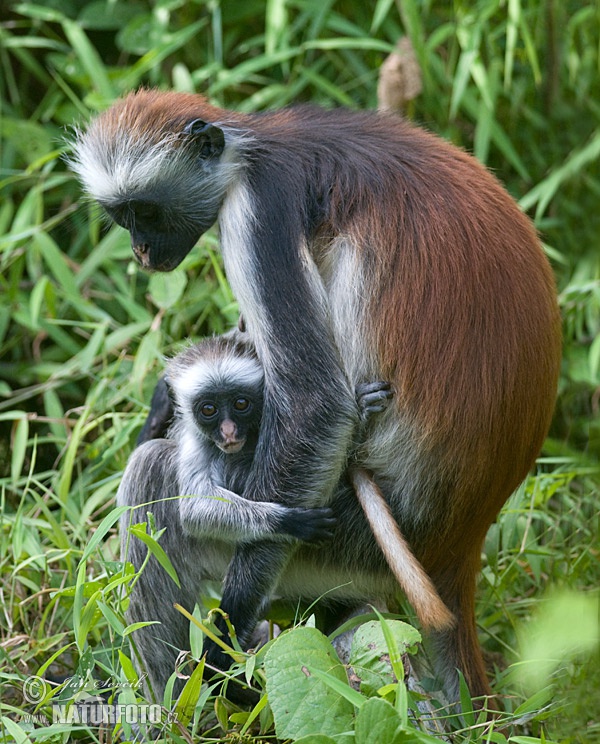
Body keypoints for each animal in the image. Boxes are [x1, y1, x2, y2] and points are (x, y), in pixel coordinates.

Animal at [71, 87, 564, 704]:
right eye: (123, 217)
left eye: (146, 212)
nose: (140, 250)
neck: (255, 146)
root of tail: (458, 545)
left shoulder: (258, 211)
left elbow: (316, 405)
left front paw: (224, 644)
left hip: (349, 546)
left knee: (151, 481)